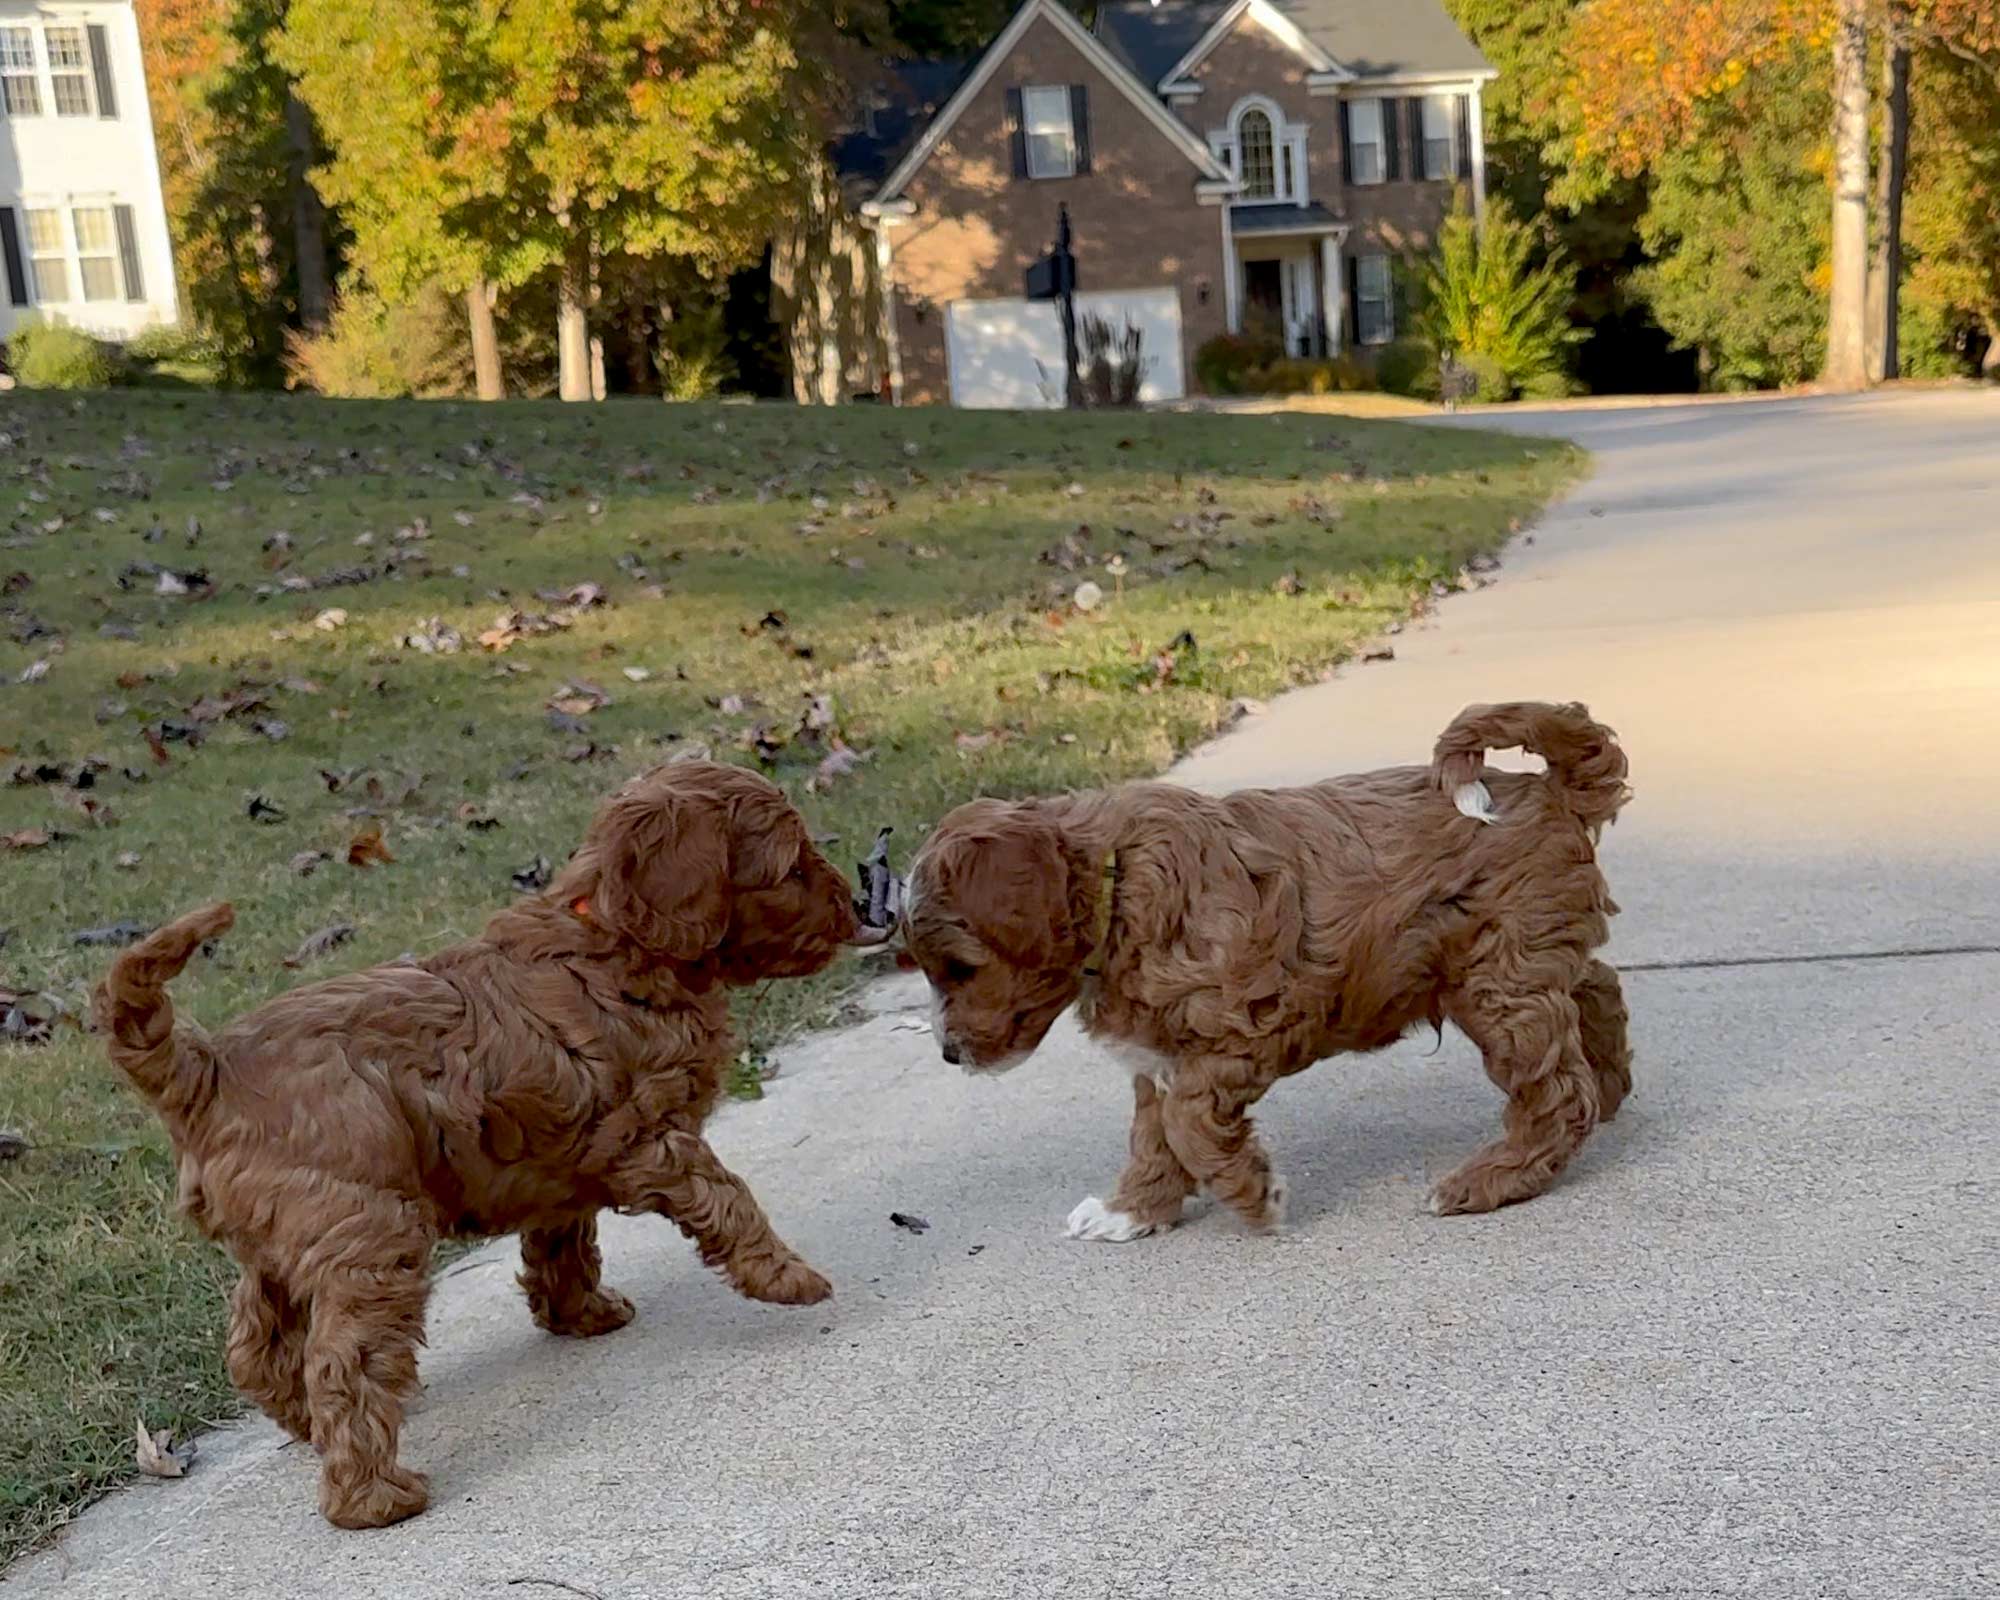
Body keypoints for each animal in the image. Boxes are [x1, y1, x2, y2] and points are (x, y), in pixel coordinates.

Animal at [95, 764, 860, 1536]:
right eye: (792, 866)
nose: (857, 907)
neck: (616, 941)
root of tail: (208, 1069)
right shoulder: (649, 1140)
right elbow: (728, 1198)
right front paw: (787, 1276)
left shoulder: (562, 1162)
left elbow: (564, 1241)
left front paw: (579, 1313)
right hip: (371, 1233)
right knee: (341, 1361)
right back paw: (372, 1497)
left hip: (287, 1240)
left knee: (254, 1349)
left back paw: (308, 1427)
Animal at [900, 700, 1632, 1240]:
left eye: (960, 969)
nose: (947, 1054)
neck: (1116, 879)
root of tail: (1551, 789)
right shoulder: (1154, 1050)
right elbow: (1153, 1132)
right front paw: (1129, 1212)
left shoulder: (1246, 1025)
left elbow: (1188, 1122)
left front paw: (1255, 1197)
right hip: (1524, 957)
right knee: (1595, 991)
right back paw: (1611, 1091)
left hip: (1496, 977)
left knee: (1554, 1089)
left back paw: (1487, 1180)